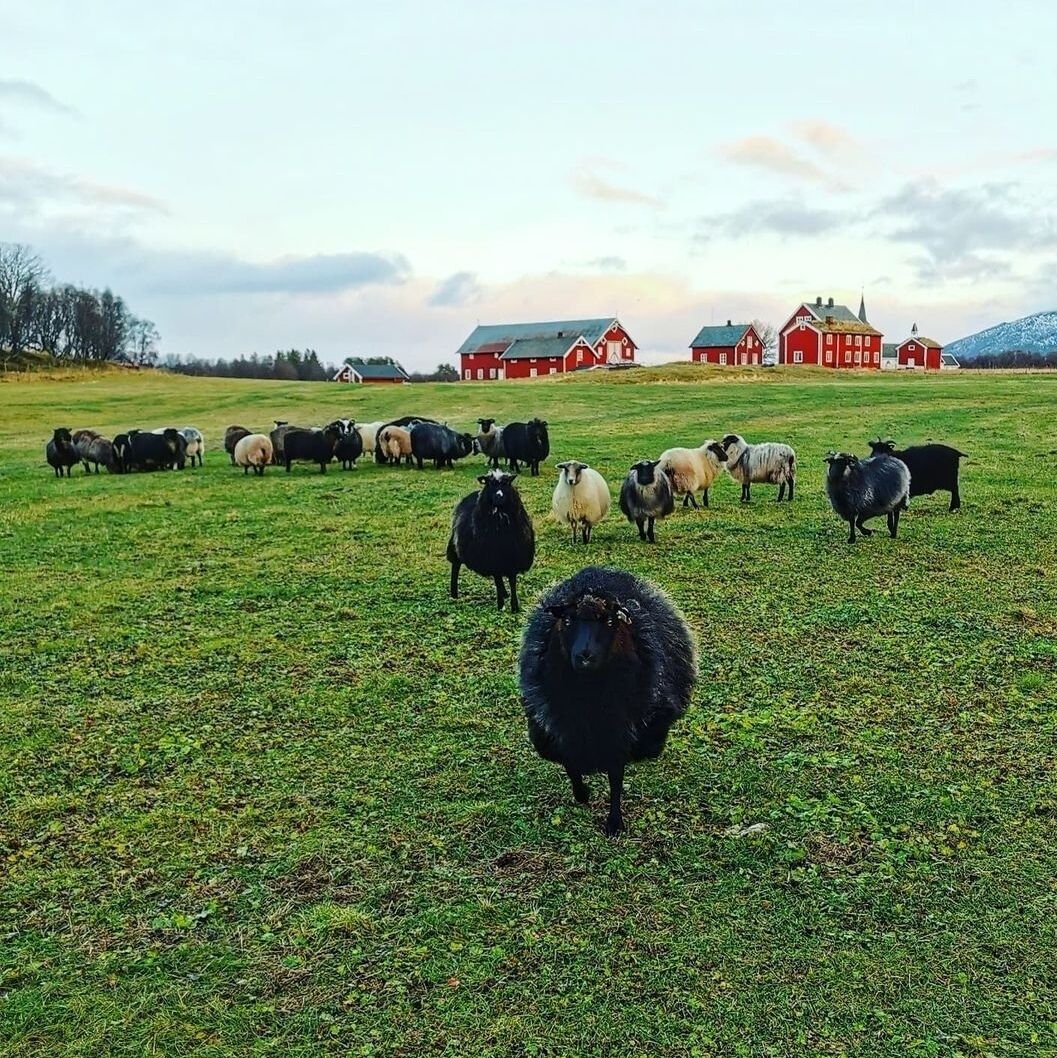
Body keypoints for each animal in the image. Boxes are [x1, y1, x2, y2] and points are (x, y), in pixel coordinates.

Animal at [447, 469, 535, 613]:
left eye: (507, 483)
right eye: (489, 484)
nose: (499, 497)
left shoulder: (513, 558)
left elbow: (512, 582)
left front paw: (514, 606)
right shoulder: (491, 559)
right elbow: (498, 581)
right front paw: (501, 605)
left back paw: (505, 594)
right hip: (456, 545)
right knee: (456, 566)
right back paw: (454, 594)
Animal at [518, 566, 697, 836]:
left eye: (610, 622)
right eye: (567, 621)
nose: (585, 656)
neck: (589, 698)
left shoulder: (620, 731)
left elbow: (615, 776)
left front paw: (614, 823)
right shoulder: (561, 730)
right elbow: (571, 765)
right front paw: (582, 794)